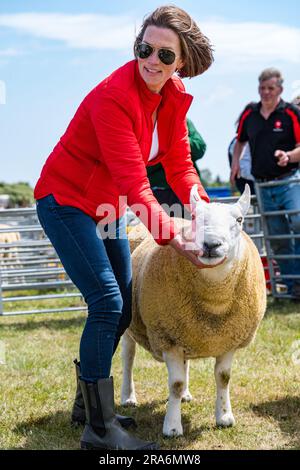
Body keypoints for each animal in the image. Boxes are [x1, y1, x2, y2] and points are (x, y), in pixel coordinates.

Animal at [120, 184, 266, 436]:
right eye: (196, 217)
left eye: (239, 220)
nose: (211, 244)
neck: (215, 302)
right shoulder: (167, 338)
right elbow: (175, 384)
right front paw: (172, 427)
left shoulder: (228, 340)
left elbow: (223, 377)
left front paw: (224, 416)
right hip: (132, 325)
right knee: (128, 357)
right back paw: (128, 397)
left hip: (186, 330)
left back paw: (186, 395)